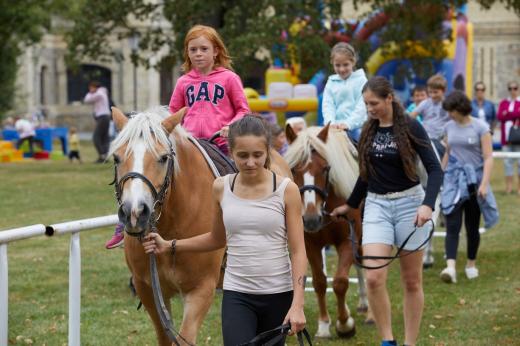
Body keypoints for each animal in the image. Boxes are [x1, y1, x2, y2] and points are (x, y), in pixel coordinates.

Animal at [284, 123, 370, 338]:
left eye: (325, 168)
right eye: (294, 169)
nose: (310, 219)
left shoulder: (348, 240)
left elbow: (340, 282)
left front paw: (345, 324)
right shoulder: (310, 245)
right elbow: (320, 282)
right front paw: (323, 325)